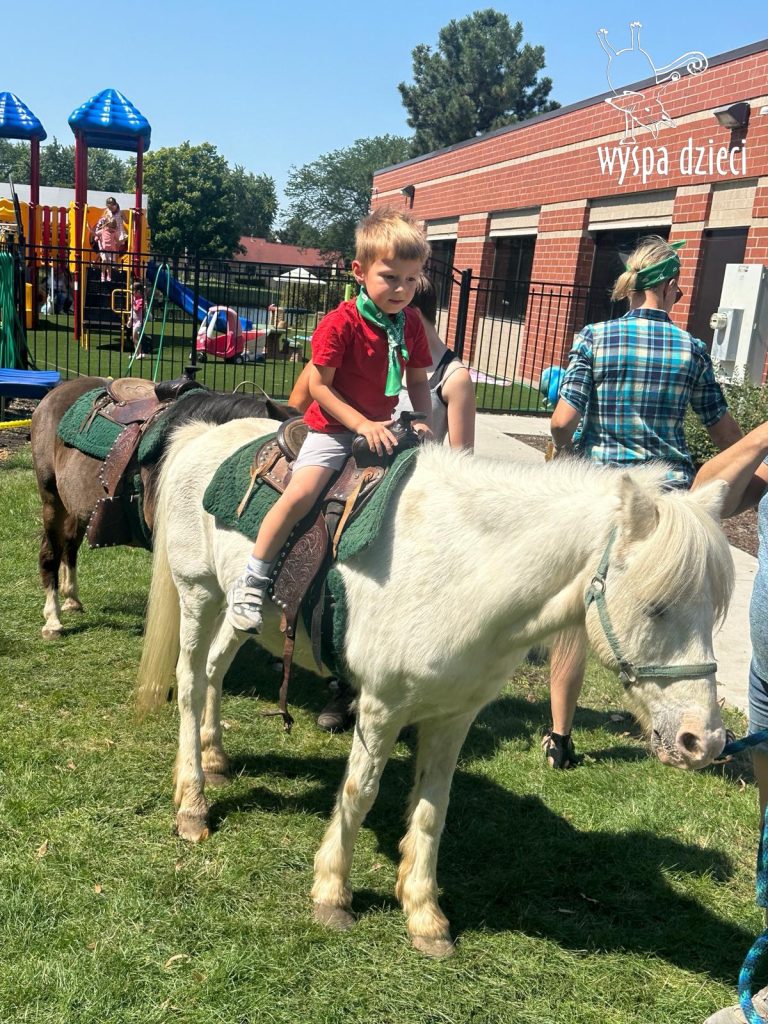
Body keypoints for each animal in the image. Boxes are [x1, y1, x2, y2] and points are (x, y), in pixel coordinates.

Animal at [30, 377, 294, 639]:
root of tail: (58, 391)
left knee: (70, 544)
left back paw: (72, 599)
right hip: (51, 498)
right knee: (50, 551)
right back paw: (53, 619)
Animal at [136, 416, 733, 957]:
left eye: (712, 613)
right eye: (657, 607)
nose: (705, 742)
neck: (464, 570)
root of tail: (203, 432)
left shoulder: (454, 715)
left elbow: (432, 807)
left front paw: (423, 912)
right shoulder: (381, 706)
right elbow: (360, 792)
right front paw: (333, 893)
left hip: (240, 614)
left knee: (214, 671)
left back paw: (214, 756)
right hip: (198, 594)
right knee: (190, 685)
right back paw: (192, 803)